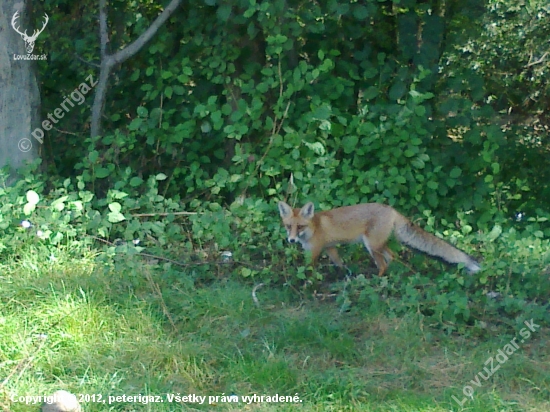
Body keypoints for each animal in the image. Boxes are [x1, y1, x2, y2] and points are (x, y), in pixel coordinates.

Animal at [280, 200, 484, 276]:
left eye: (300, 227)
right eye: (289, 226)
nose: (291, 240)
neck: (313, 228)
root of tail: (391, 209)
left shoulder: (315, 251)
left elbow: (308, 268)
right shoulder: (330, 248)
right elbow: (339, 262)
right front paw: (345, 274)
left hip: (371, 245)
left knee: (383, 264)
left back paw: (377, 280)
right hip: (377, 244)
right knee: (391, 257)